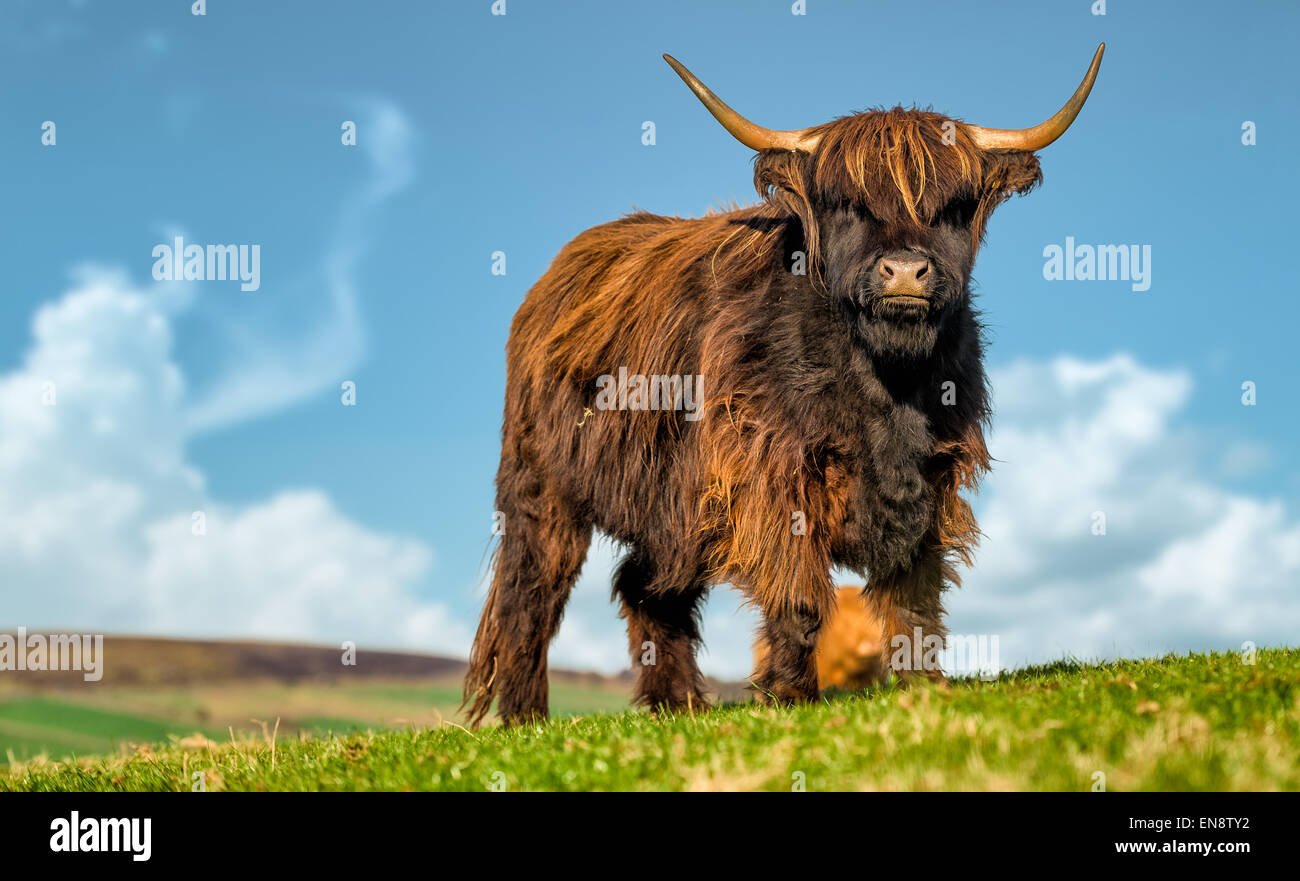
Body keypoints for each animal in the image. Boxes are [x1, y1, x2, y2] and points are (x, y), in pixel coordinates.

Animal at [462, 44, 1102, 727]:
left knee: (647, 588)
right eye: (847, 204)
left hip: (676, 505)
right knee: (532, 593)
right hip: (542, 485)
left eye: (953, 207)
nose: (905, 270)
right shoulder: (771, 472)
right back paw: (526, 717)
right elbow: (799, 596)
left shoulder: (931, 479)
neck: (886, 389)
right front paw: (790, 695)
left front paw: (924, 688)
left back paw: (679, 705)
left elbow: (915, 600)